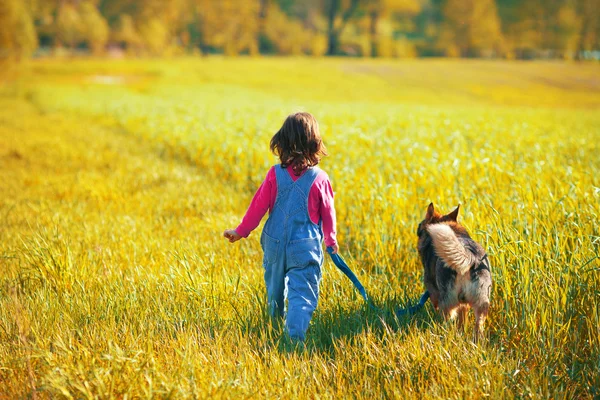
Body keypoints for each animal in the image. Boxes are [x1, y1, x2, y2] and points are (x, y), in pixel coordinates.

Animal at [418, 203, 492, 340]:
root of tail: (470, 258)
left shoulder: (433, 291)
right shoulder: (464, 305)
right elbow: (463, 319)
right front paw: (462, 330)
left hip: (447, 303)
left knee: (446, 322)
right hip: (482, 303)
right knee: (479, 327)